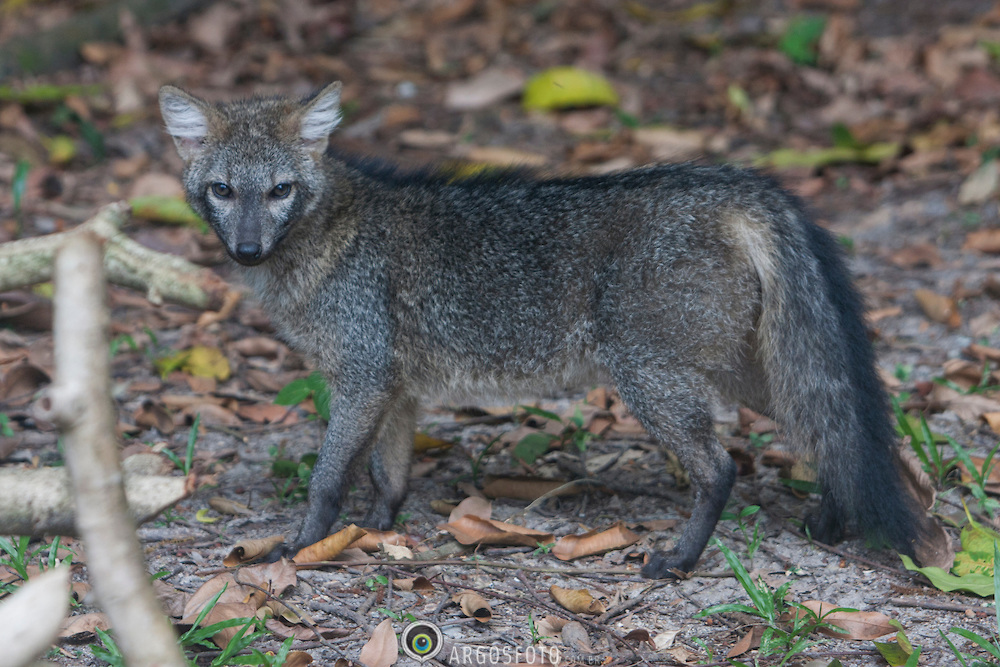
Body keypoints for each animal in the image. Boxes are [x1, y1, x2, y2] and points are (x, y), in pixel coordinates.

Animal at [158, 82, 927, 577]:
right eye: (223, 191)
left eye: (279, 191)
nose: (246, 250)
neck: (328, 238)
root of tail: (728, 184)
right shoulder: (395, 389)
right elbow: (388, 474)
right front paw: (374, 532)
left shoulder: (363, 378)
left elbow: (325, 478)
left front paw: (304, 545)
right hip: (746, 372)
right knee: (829, 432)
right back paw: (832, 522)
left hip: (651, 379)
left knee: (723, 467)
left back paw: (679, 559)